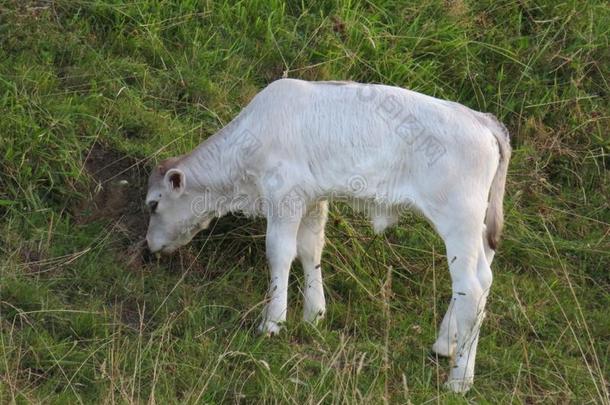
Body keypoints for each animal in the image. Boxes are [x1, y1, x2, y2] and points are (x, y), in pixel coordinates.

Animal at [146, 78, 508, 392]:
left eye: (153, 204)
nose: (149, 245)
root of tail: (482, 119)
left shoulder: (285, 195)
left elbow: (279, 252)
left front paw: (272, 322)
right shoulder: (313, 199)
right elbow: (310, 249)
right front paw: (313, 315)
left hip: (458, 218)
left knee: (472, 289)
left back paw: (459, 380)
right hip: (477, 227)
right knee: (482, 277)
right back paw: (445, 343)